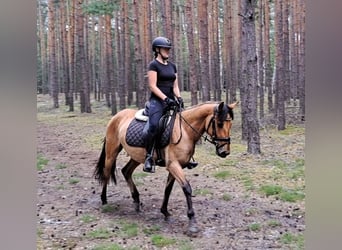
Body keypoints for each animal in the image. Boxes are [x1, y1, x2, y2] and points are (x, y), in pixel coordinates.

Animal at [93, 100, 238, 235]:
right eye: (219, 124)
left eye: (230, 124)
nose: (225, 152)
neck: (185, 130)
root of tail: (117, 116)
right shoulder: (173, 165)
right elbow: (187, 188)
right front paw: (192, 222)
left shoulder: (175, 167)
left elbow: (168, 190)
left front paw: (165, 212)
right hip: (112, 152)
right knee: (107, 172)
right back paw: (104, 200)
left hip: (136, 156)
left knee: (126, 171)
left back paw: (136, 201)